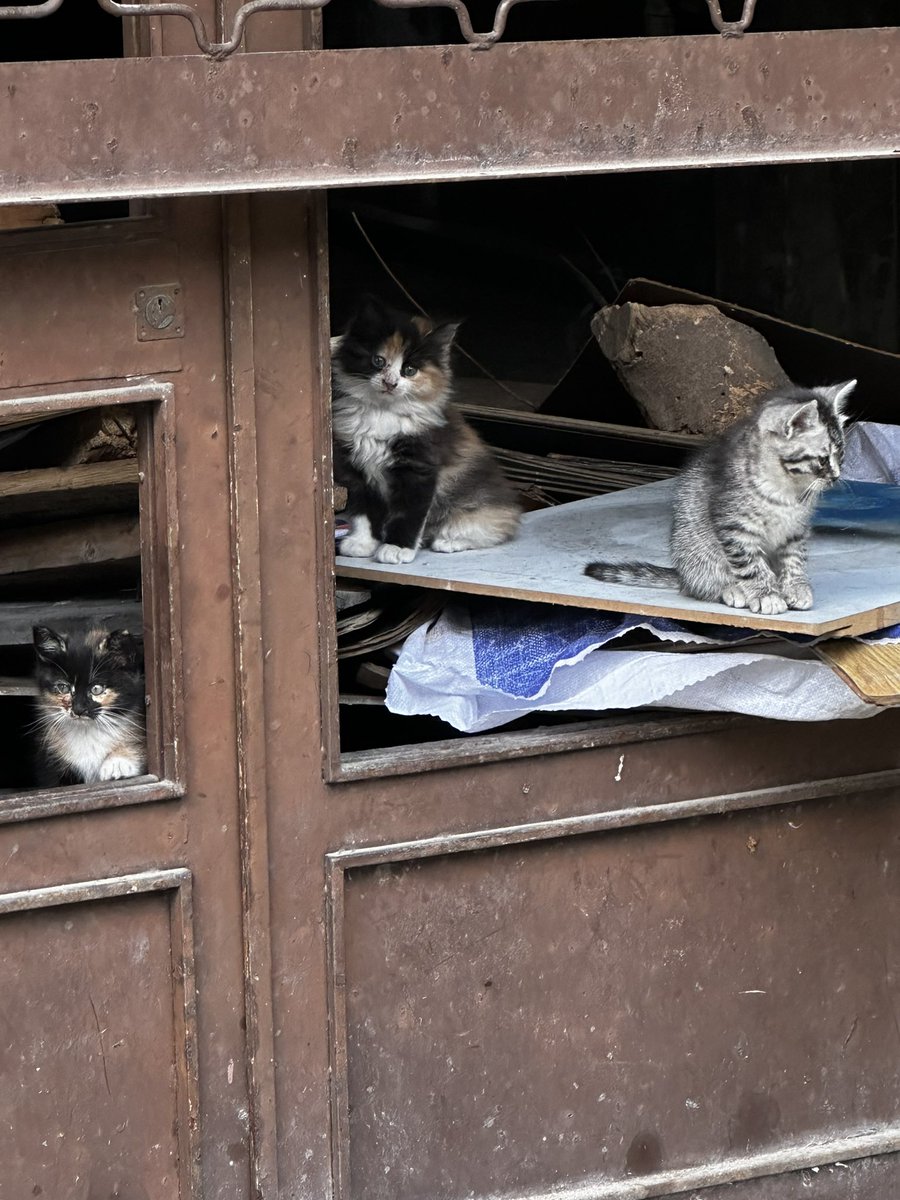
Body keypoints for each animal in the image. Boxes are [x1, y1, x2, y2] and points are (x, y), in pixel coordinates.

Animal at [331, 297, 520, 564]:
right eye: (378, 361)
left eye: (409, 370)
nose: (390, 383)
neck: (381, 412)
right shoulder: (356, 470)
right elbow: (363, 512)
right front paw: (363, 543)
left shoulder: (419, 468)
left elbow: (408, 513)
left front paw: (397, 548)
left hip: (478, 507)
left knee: (493, 529)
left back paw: (449, 541)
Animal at [585, 379, 859, 614]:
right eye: (822, 460)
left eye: (841, 455)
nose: (836, 476)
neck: (788, 490)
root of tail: (682, 575)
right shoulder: (735, 527)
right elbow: (752, 566)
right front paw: (767, 595)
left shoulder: (796, 529)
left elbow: (794, 559)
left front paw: (796, 587)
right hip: (695, 550)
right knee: (703, 586)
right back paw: (731, 590)